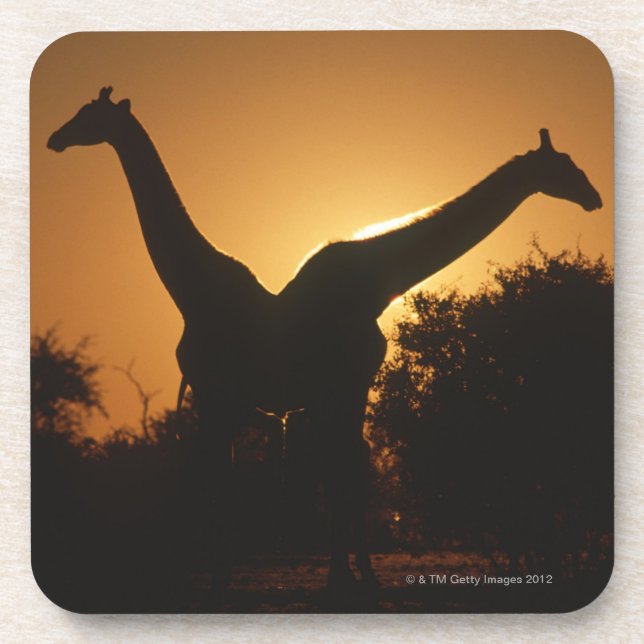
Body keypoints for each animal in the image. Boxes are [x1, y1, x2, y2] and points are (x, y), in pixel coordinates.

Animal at [47, 87, 602, 593]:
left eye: (87, 114)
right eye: (565, 165)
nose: (56, 137)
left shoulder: (341, 388)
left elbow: (341, 471)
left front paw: (354, 575)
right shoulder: (290, 391)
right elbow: (326, 473)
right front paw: (341, 576)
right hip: (235, 398)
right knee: (227, 473)